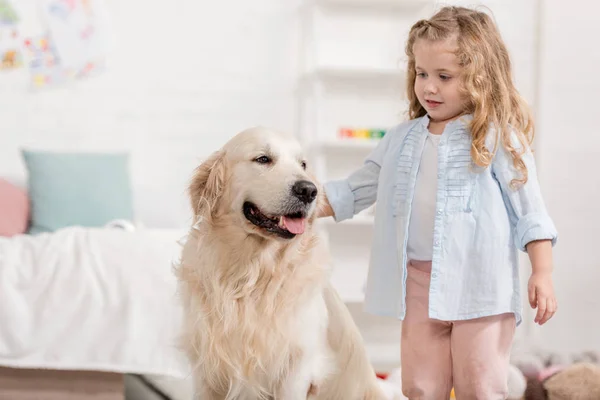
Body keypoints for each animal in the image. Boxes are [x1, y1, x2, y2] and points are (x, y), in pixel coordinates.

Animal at [176, 127, 386, 400]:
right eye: (263, 159)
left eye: (303, 164)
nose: (309, 190)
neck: (252, 273)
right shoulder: (206, 370)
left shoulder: (297, 369)